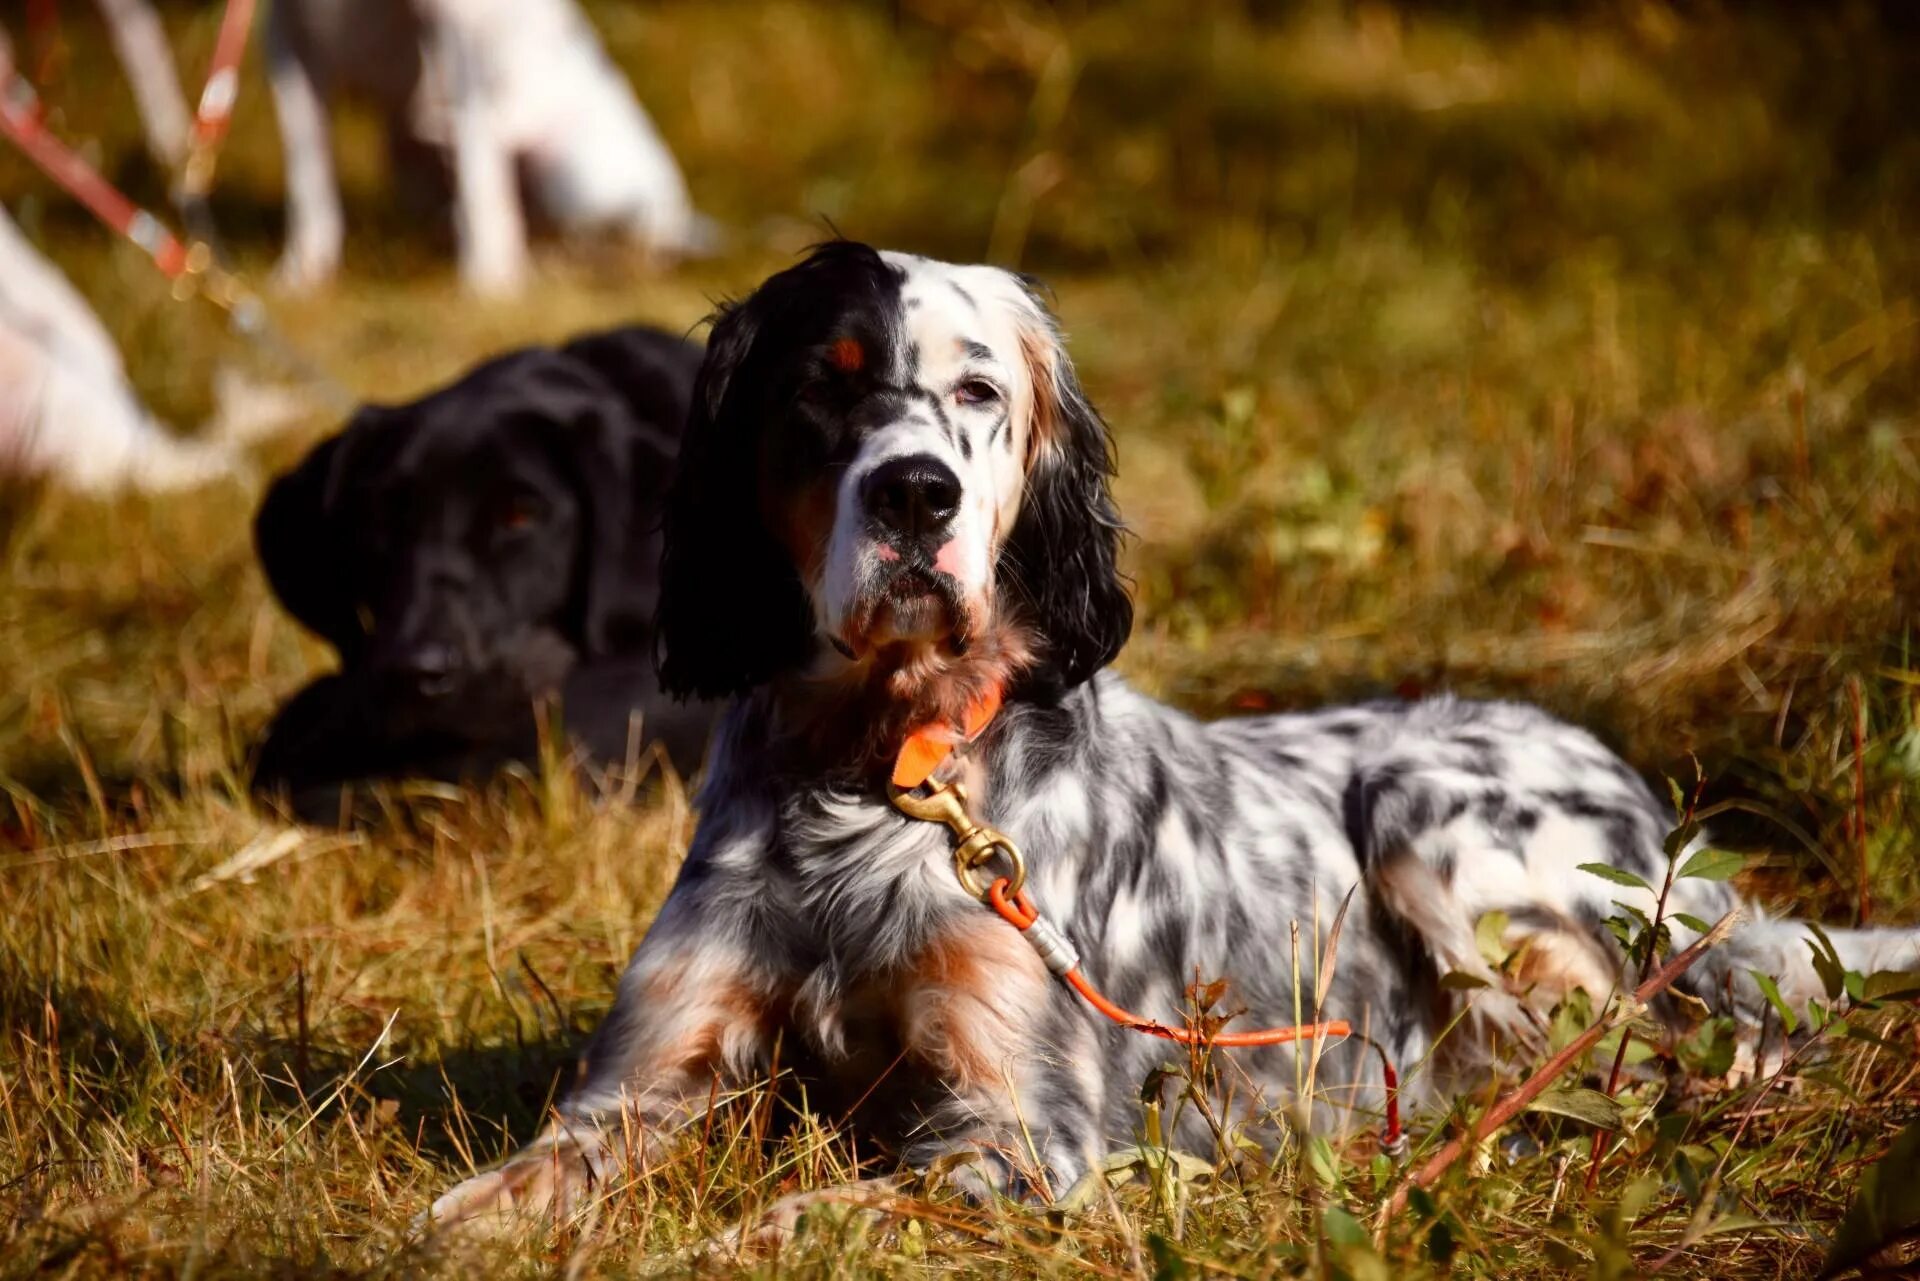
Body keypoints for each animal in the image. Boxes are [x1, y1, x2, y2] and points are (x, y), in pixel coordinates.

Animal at [432, 242, 1920, 1229]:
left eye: (978, 393)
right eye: (822, 388)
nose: (915, 495)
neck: (881, 774)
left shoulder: (1025, 1137)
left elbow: (824, 1214)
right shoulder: (639, 1085)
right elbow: (502, 1189)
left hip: (1437, 824)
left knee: (1701, 1045)